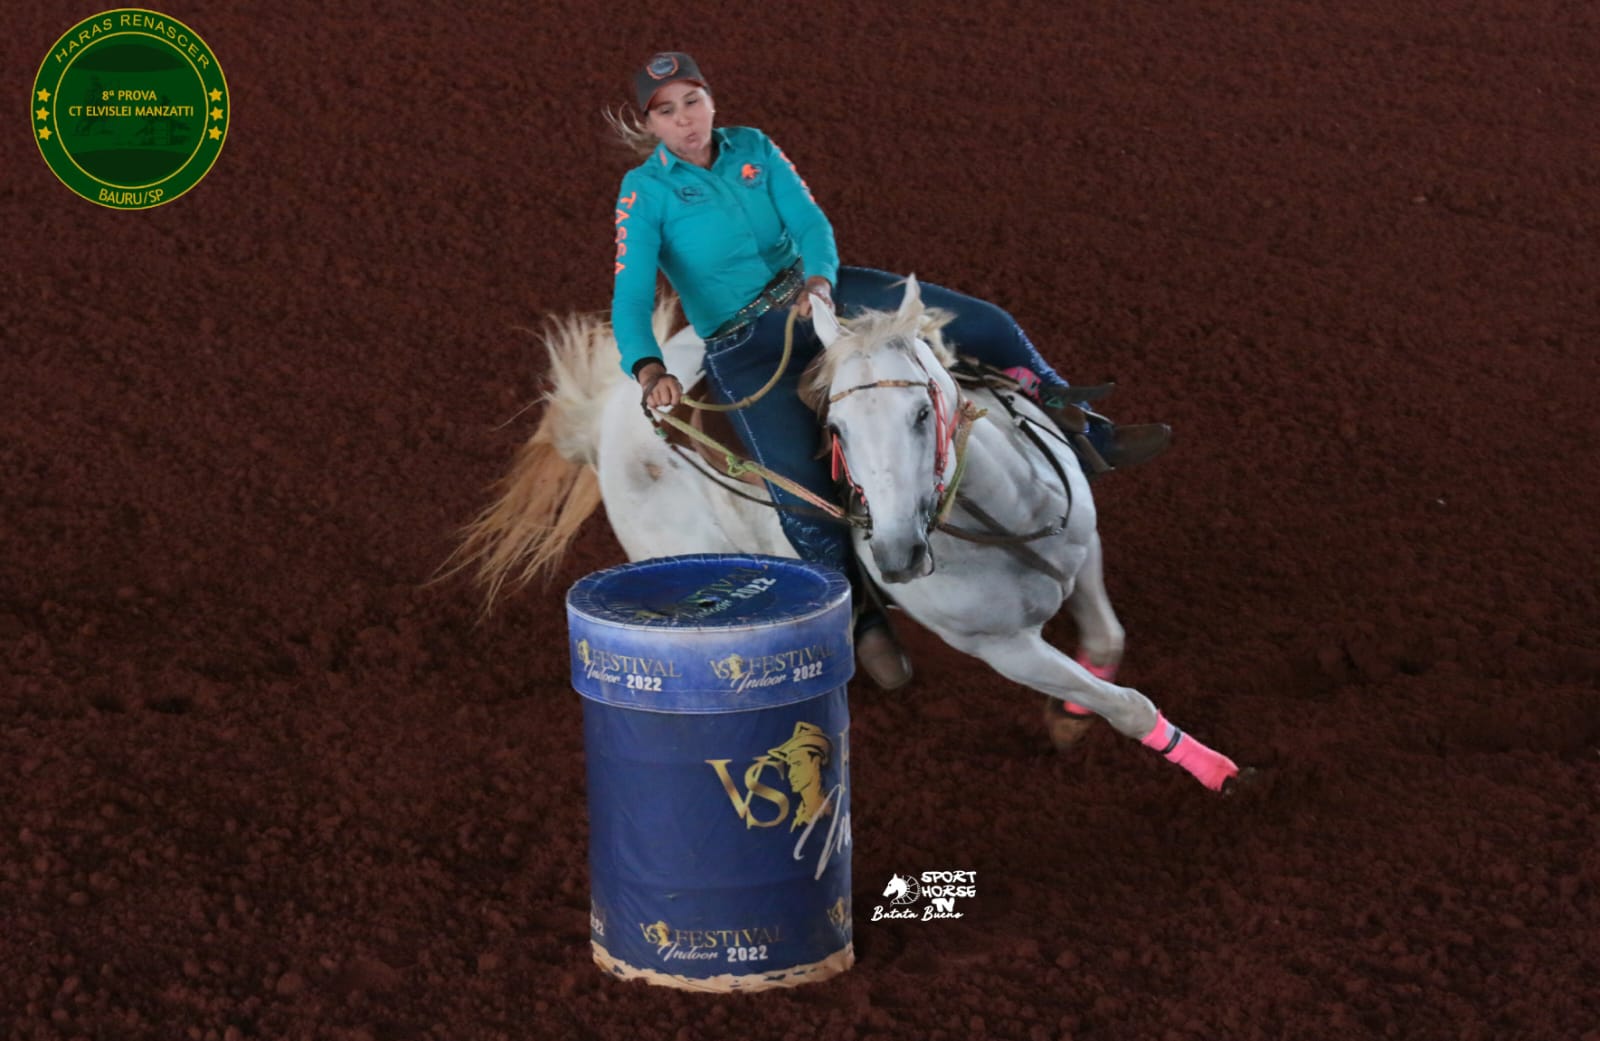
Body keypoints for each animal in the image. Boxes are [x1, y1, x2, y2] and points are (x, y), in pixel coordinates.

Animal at [448, 281, 1235, 793]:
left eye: (923, 411)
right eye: (836, 427)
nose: (895, 553)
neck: (1006, 521)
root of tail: (616, 412)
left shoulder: (1082, 548)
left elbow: (1106, 643)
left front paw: (1070, 718)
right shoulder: (1002, 649)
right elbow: (1129, 703)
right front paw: (1216, 769)